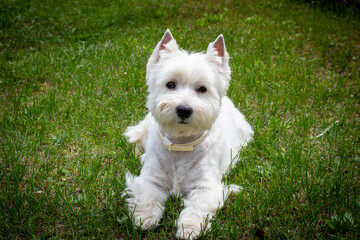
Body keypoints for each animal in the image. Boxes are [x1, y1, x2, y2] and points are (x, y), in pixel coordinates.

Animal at [124, 29, 253, 238]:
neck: (180, 143)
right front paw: (144, 219)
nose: (184, 110)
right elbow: (147, 197)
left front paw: (189, 228)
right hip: (146, 124)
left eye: (202, 89)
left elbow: (196, 208)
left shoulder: (206, 186)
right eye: (170, 84)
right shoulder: (151, 179)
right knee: (137, 135)